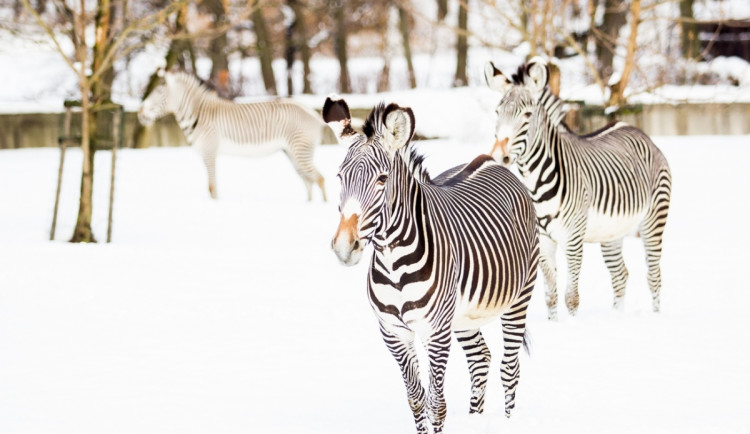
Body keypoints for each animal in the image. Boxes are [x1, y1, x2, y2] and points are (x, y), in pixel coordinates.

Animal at [137, 70, 328, 202]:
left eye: (159, 91)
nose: (139, 113)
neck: (199, 114)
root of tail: (313, 113)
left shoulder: (210, 152)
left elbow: (212, 187)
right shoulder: (204, 154)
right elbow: (210, 187)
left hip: (300, 150)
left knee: (319, 178)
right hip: (292, 153)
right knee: (308, 180)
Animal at [324, 96, 540, 432]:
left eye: (382, 179)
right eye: (339, 177)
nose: (345, 247)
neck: (394, 264)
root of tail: (490, 160)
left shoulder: (435, 330)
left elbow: (436, 404)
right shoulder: (393, 332)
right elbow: (416, 399)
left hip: (520, 296)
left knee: (510, 367)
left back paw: (509, 421)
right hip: (464, 316)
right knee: (481, 359)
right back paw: (475, 419)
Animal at [488, 57, 676, 318]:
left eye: (527, 114)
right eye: (497, 113)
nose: (498, 155)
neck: (536, 186)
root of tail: (634, 129)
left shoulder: (573, 237)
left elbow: (571, 297)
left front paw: (573, 326)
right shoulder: (543, 241)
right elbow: (551, 296)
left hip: (653, 221)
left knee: (654, 276)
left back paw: (656, 316)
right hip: (612, 232)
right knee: (620, 276)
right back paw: (618, 317)